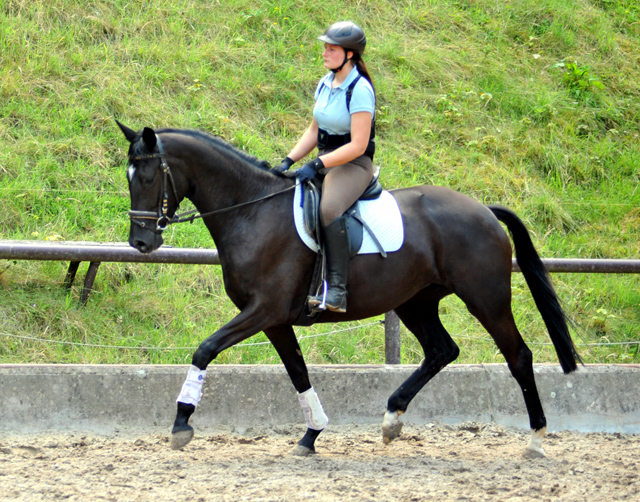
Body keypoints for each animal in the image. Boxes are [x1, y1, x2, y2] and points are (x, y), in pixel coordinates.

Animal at [117, 122, 584, 458]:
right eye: (129, 178)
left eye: (148, 178)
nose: (140, 242)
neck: (252, 212)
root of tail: (483, 209)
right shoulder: (274, 319)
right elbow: (298, 372)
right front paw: (311, 435)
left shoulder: (264, 310)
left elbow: (205, 349)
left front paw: (181, 424)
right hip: (415, 302)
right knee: (442, 350)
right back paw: (392, 418)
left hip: (485, 299)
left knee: (518, 356)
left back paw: (536, 440)